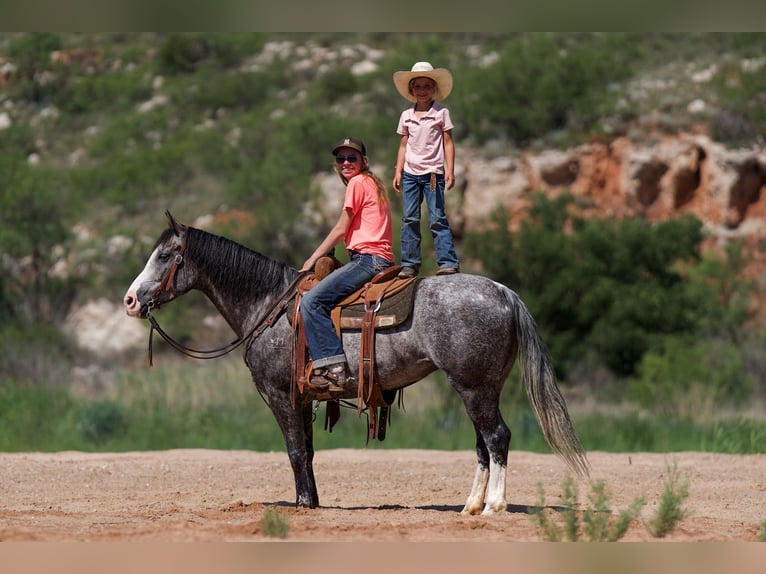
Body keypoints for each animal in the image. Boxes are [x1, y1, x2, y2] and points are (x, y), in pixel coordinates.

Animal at [126, 214, 592, 516]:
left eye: (166, 256)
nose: (130, 300)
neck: (269, 305)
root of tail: (503, 292)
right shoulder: (303, 397)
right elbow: (308, 451)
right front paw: (313, 501)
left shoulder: (279, 394)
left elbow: (295, 451)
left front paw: (302, 505)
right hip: (480, 387)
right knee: (483, 442)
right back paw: (471, 506)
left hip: (475, 387)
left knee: (497, 437)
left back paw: (494, 505)